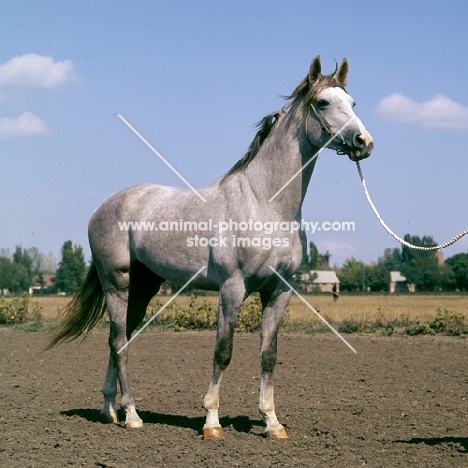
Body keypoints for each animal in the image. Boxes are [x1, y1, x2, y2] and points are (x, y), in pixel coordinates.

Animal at [46, 54, 372, 438]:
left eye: (352, 103)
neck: (264, 202)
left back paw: (109, 409)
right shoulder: (232, 288)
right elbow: (223, 352)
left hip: (143, 288)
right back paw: (132, 414)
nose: (364, 142)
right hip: (117, 283)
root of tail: (105, 206)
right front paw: (212, 422)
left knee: (120, 337)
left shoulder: (279, 291)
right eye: (322, 103)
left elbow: (269, 355)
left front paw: (272, 423)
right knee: (118, 342)